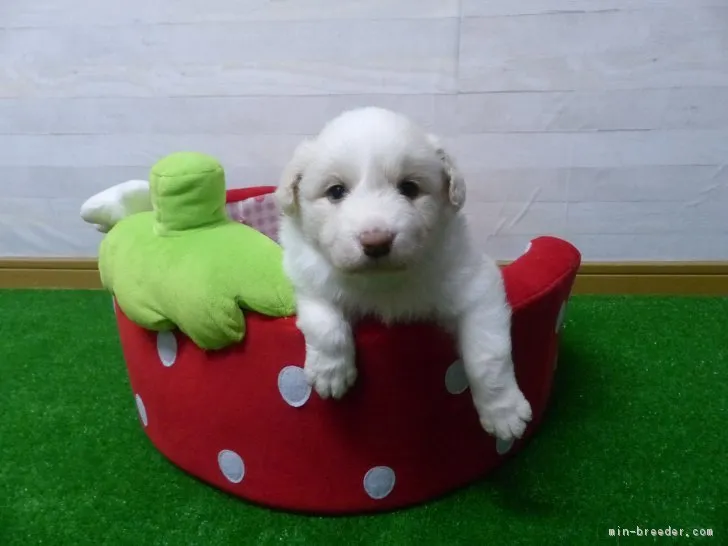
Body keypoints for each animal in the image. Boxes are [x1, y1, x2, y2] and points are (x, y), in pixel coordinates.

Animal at [276, 105, 532, 438]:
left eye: (409, 188)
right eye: (336, 192)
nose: (376, 242)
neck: (384, 282)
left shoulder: (477, 285)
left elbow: (487, 354)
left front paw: (504, 413)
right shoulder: (308, 276)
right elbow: (323, 322)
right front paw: (330, 373)